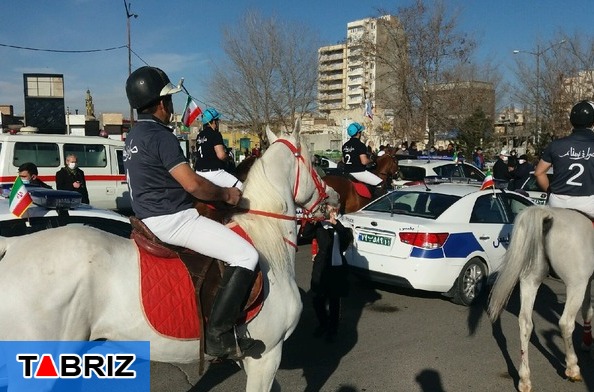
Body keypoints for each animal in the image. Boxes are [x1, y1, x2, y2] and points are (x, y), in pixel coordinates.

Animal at [0, 121, 338, 390]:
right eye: (313, 163)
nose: (333, 197)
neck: (268, 238)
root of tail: (13, 246)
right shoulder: (267, 356)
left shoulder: (252, 359)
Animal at [486, 205, 592, 392]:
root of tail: (548, 214)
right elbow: (588, 310)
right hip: (576, 284)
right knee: (566, 323)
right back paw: (572, 368)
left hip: (530, 280)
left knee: (525, 323)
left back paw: (524, 379)